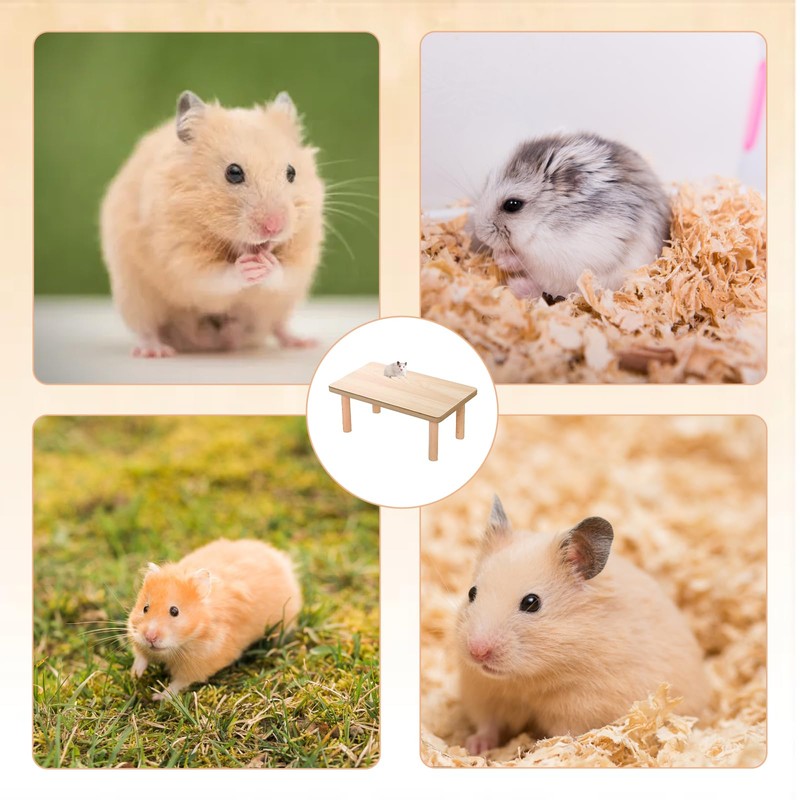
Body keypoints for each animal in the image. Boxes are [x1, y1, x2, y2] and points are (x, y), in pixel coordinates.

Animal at [100, 90, 325, 357]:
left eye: (291, 172)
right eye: (233, 172)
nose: (274, 227)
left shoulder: (304, 254)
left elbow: (285, 272)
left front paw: (267, 264)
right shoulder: (180, 255)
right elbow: (214, 277)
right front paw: (248, 266)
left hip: (282, 305)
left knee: (278, 326)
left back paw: (303, 342)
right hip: (134, 296)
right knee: (146, 328)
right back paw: (156, 351)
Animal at [127, 538, 302, 699]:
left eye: (174, 611)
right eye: (145, 608)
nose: (150, 637)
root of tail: (278, 557)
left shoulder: (200, 663)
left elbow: (179, 683)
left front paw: (157, 697)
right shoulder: (137, 638)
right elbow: (141, 656)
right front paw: (134, 675)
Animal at [455, 497, 710, 755]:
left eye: (531, 602)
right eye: (472, 592)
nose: (477, 652)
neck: (525, 680)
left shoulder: (582, 706)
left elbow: (564, 734)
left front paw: (539, 749)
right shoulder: (484, 692)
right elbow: (488, 724)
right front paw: (473, 747)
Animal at [472, 133, 671, 301]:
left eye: (512, 205)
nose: (479, 235)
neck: (544, 220)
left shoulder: (565, 254)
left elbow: (525, 258)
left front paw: (500, 257)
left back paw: (518, 286)